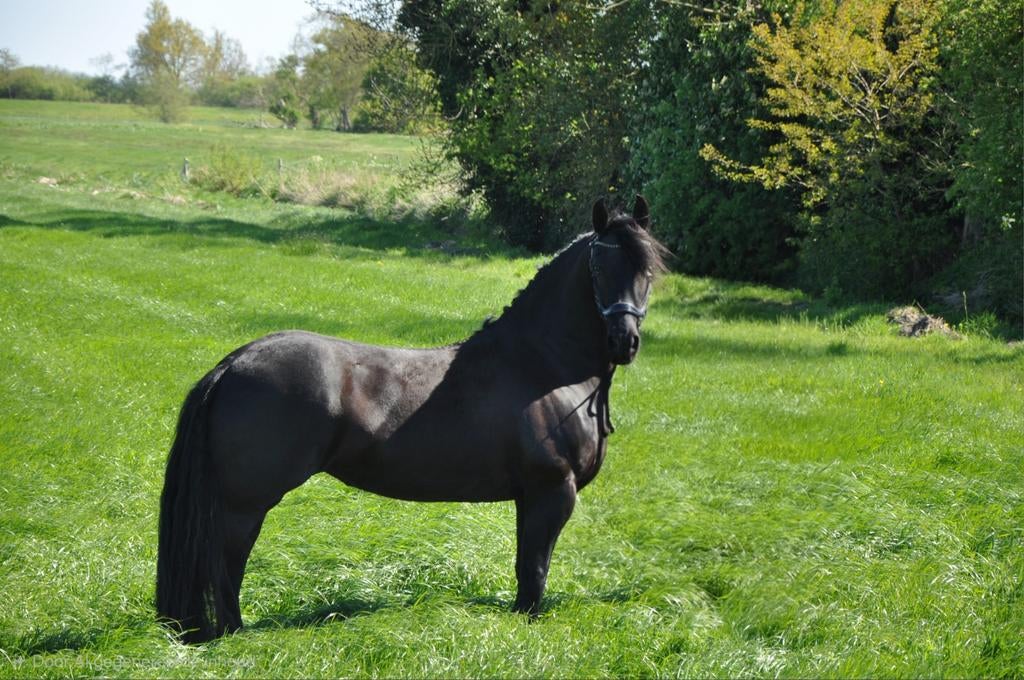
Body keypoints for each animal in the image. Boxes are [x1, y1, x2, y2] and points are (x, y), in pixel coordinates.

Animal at [156, 196, 668, 643]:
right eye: (598, 268)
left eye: (648, 270)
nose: (624, 340)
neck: (543, 366)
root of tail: (234, 363)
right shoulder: (552, 491)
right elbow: (535, 570)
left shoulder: (531, 497)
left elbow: (526, 566)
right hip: (245, 502)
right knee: (228, 561)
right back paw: (233, 633)